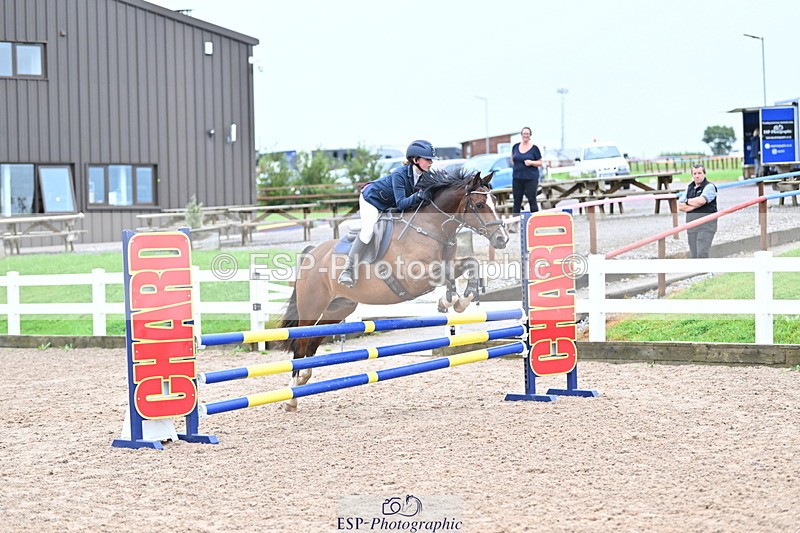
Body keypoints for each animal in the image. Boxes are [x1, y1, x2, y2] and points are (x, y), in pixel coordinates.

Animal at [277, 168, 509, 410]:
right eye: (480, 204)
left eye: (494, 201)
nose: (502, 239)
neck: (431, 228)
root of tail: (311, 253)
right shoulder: (415, 276)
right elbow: (444, 273)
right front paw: (450, 301)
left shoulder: (449, 263)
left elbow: (470, 264)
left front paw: (459, 301)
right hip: (312, 306)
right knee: (301, 343)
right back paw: (292, 398)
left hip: (338, 308)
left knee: (313, 341)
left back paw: (304, 379)